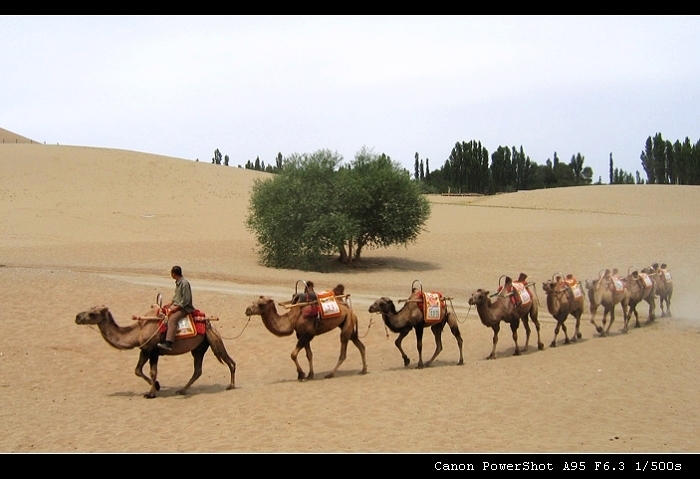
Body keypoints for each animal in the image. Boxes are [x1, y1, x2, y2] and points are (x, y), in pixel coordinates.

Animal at [75, 306, 235, 400]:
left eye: (92, 313)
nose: (77, 317)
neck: (138, 331)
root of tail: (208, 322)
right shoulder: (144, 350)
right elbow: (137, 370)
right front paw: (157, 386)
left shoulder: (153, 351)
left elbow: (152, 372)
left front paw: (151, 393)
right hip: (199, 348)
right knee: (198, 370)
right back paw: (182, 390)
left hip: (213, 340)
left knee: (230, 361)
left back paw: (231, 386)